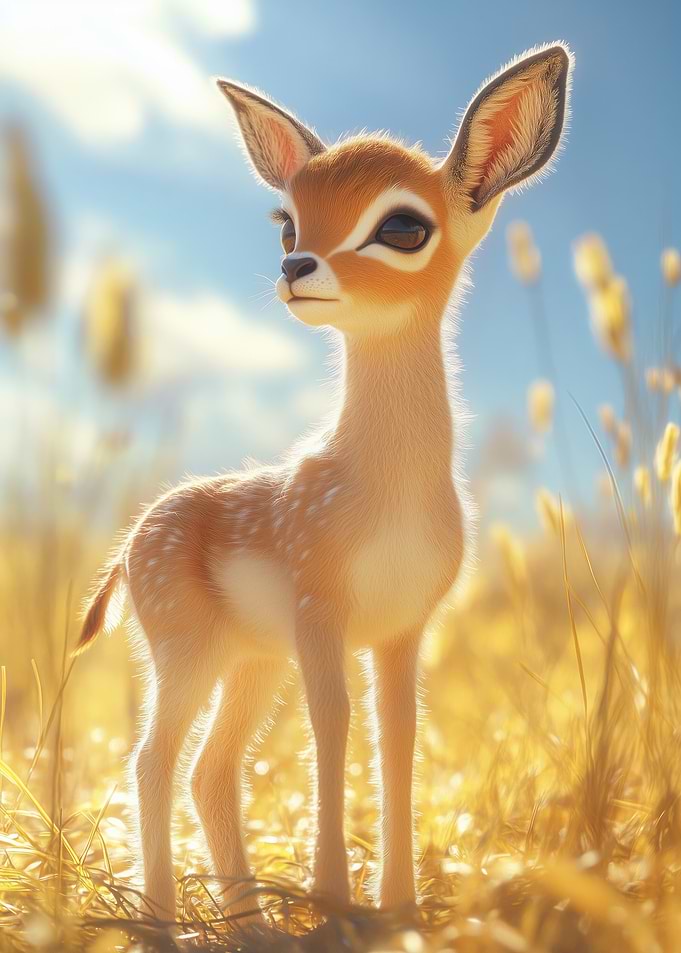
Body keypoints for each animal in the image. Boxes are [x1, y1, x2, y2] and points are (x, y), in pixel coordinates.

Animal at [77, 44, 572, 924]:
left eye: (403, 225)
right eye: (287, 219)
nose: (294, 267)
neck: (384, 491)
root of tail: (130, 540)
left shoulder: (402, 629)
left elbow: (397, 733)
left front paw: (396, 905)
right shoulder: (320, 611)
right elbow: (332, 723)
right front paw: (333, 899)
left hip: (249, 660)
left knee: (208, 767)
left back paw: (249, 923)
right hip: (187, 649)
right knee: (151, 759)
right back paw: (166, 919)